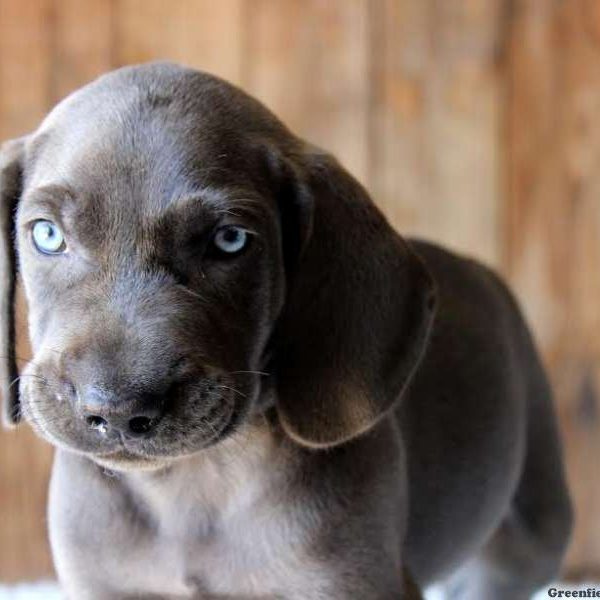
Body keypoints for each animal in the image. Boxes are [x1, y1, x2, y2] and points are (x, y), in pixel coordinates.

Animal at [0, 63, 572, 596]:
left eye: (229, 240)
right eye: (47, 235)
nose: (116, 408)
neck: (191, 486)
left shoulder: (353, 582)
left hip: (536, 520)